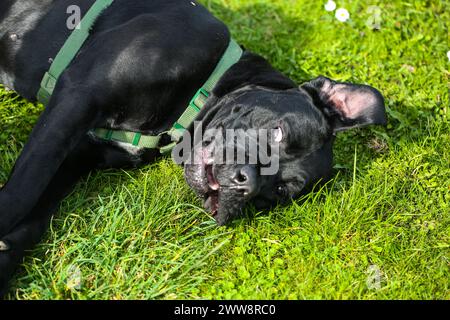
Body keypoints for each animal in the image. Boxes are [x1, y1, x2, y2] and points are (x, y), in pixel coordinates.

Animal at [0, 0, 386, 296]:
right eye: (279, 132)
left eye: (278, 193)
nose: (246, 184)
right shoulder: (79, 95)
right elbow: (23, 190)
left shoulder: (79, 153)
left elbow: (37, 209)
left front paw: (6, 253)